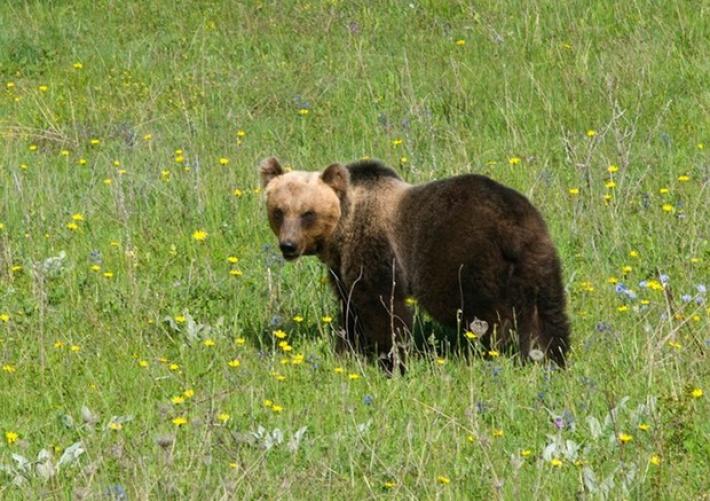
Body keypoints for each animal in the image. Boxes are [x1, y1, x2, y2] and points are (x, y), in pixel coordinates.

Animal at [260, 157, 570, 373]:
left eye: (307, 213)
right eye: (279, 211)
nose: (288, 245)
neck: (342, 230)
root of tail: (514, 226)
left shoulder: (375, 248)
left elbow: (382, 307)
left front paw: (391, 361)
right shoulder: (342, 269)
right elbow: (349, 309)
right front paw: (346, 351)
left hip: (461, 257)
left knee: (485, 312)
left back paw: (496, 351)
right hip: (537, 256)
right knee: (547, 312)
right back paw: (550, 356)